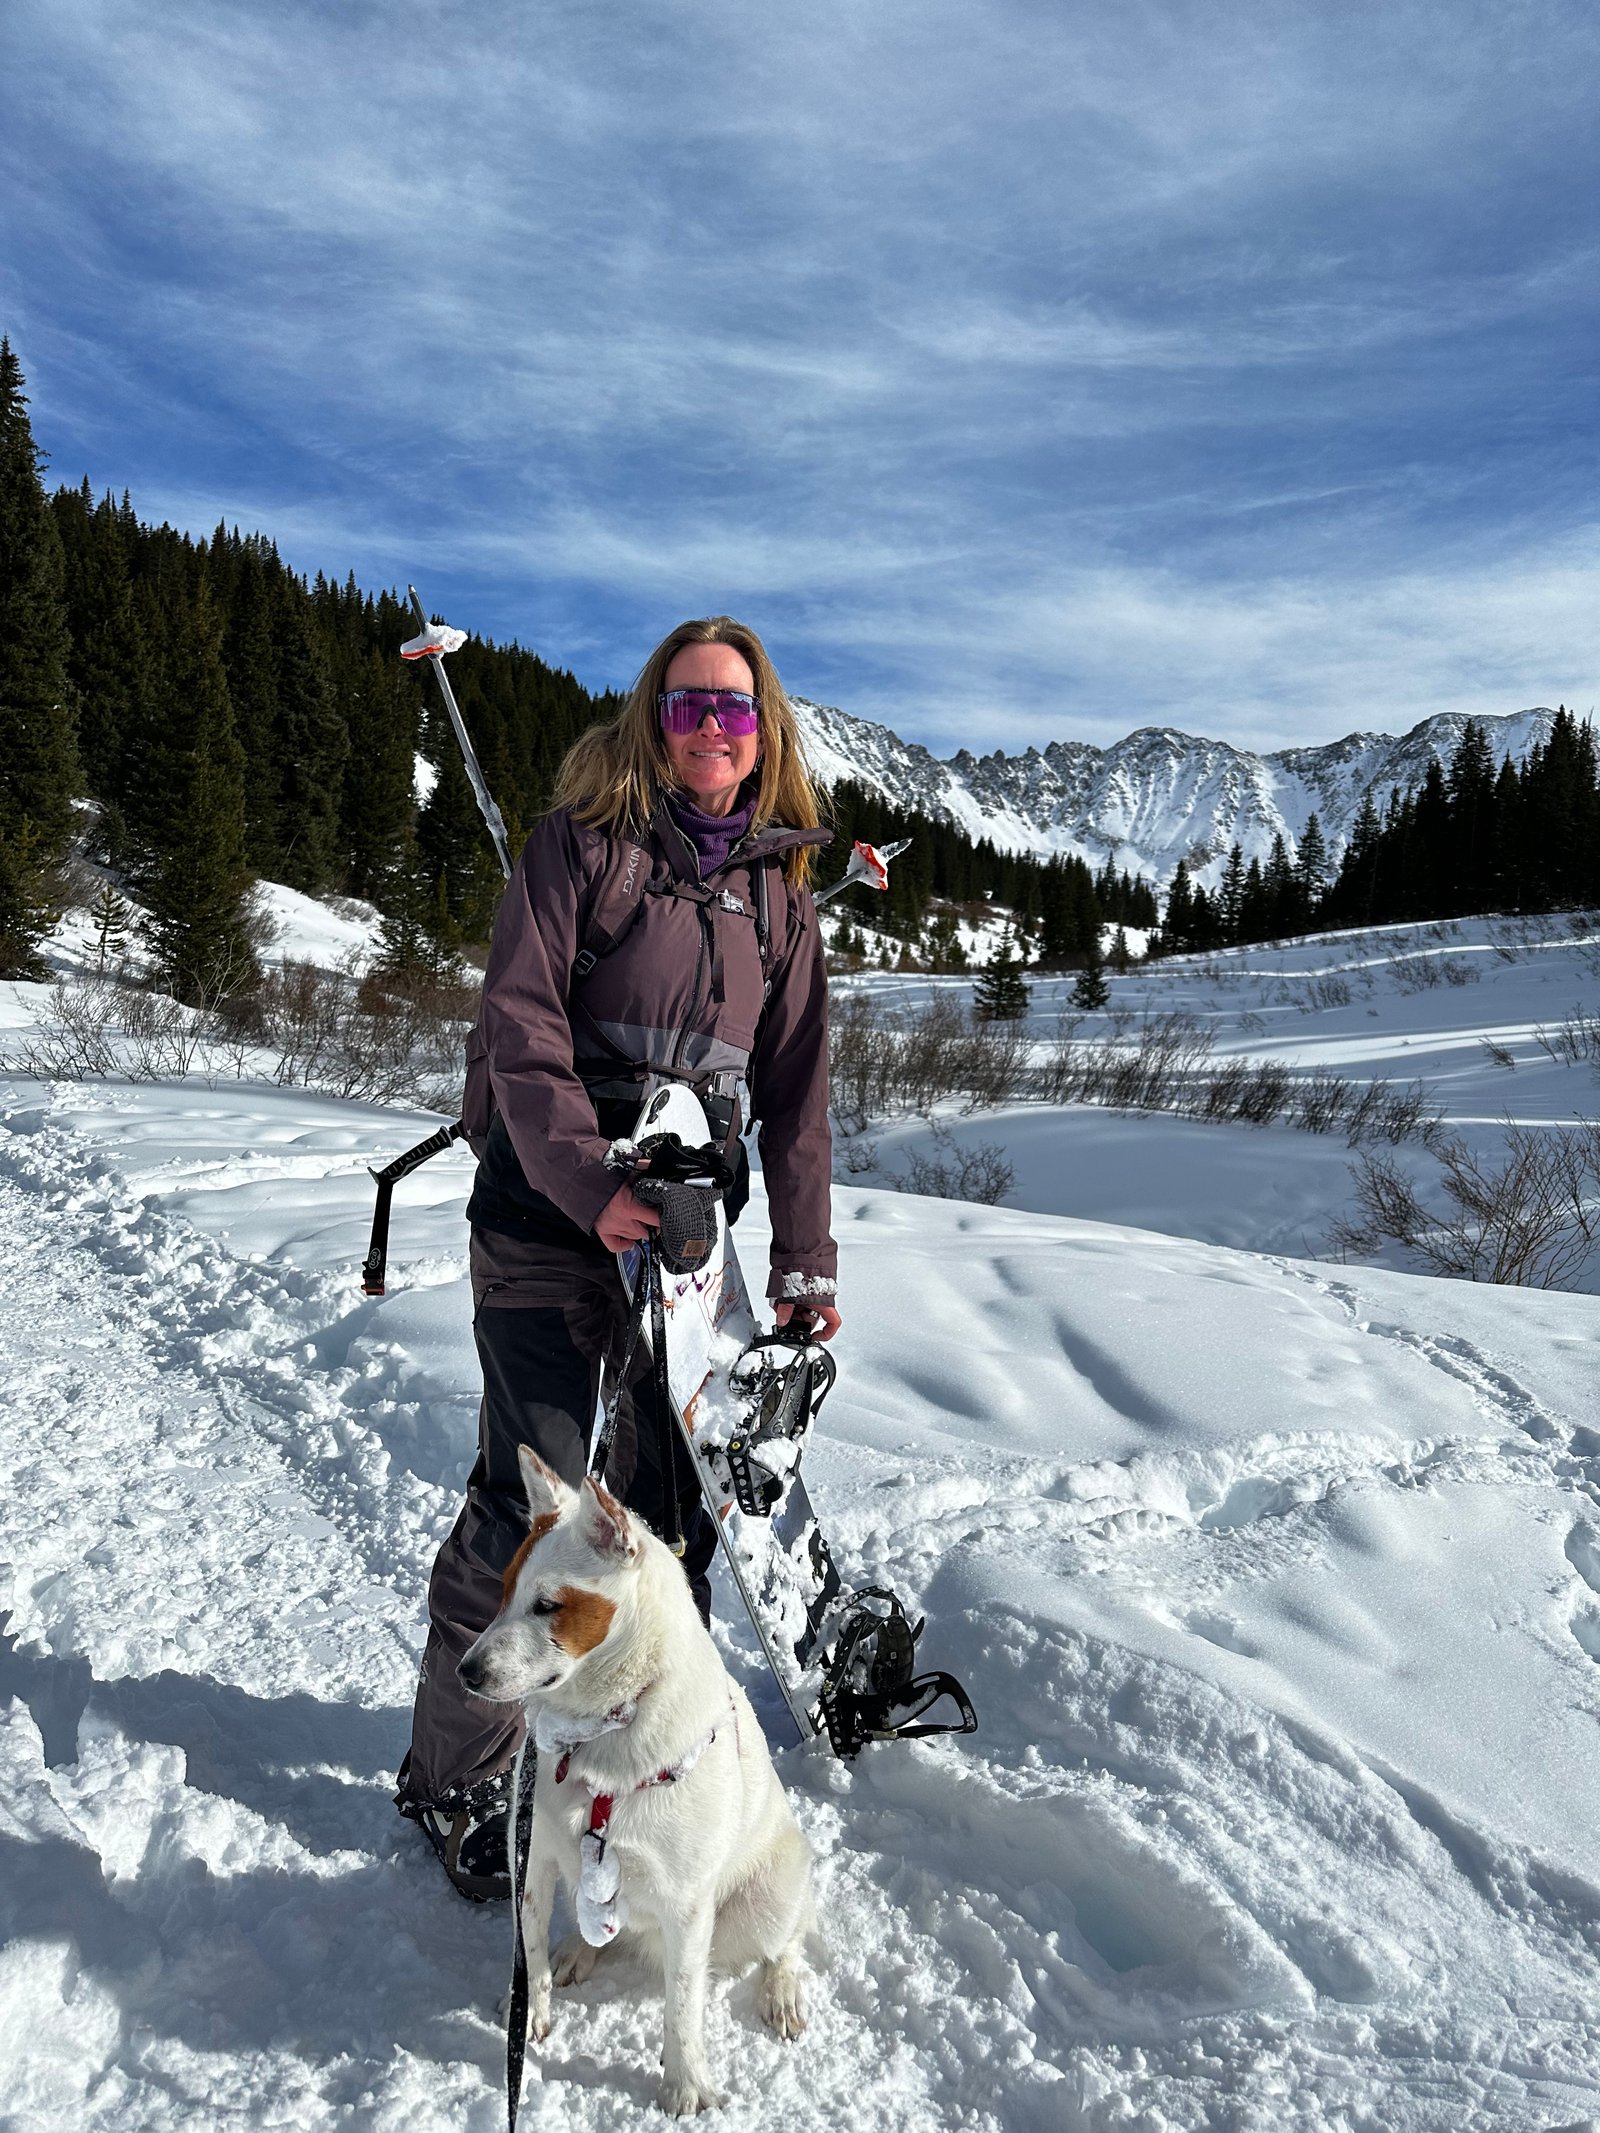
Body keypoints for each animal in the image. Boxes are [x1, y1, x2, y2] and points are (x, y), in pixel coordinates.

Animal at [460, 1450, 814, 2115]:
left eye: (548, 1605)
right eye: (504, 1591)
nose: (467, 1672)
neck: (604, 1728)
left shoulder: (687, 1904)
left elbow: (683, 2006)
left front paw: (685, 2083)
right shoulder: (536, 1856)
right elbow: (530, 1947)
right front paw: (530, 2010)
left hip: (768, 1898)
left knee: (785, 1944)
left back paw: (781, 1993)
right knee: (600, 1932)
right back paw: (578, 1951)